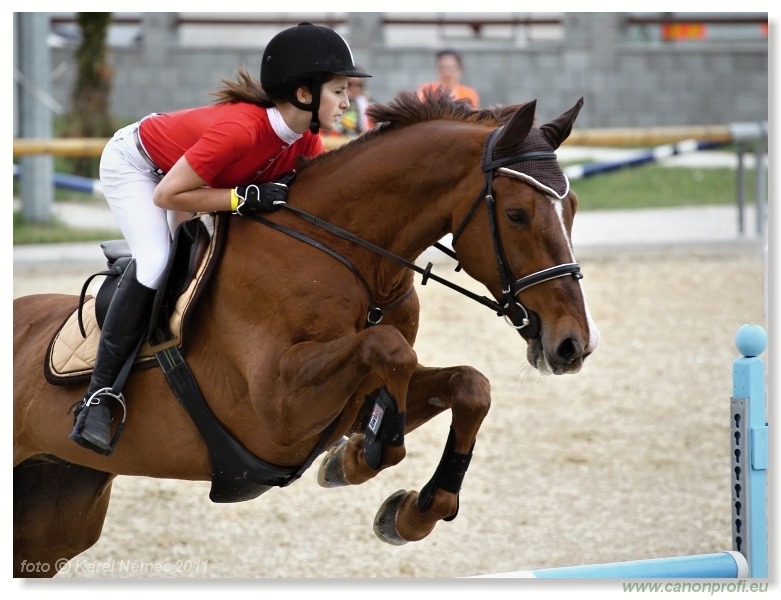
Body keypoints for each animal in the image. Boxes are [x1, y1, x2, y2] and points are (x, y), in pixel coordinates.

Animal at [10, 89, 596, 576]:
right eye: (517, 214)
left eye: (572, 208)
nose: (572, 346)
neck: (355, 261)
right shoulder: (275, 410)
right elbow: (389, 353)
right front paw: (365, 455)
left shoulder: (334, 403)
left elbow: (468, 385)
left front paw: (405, 506)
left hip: (55, 515)